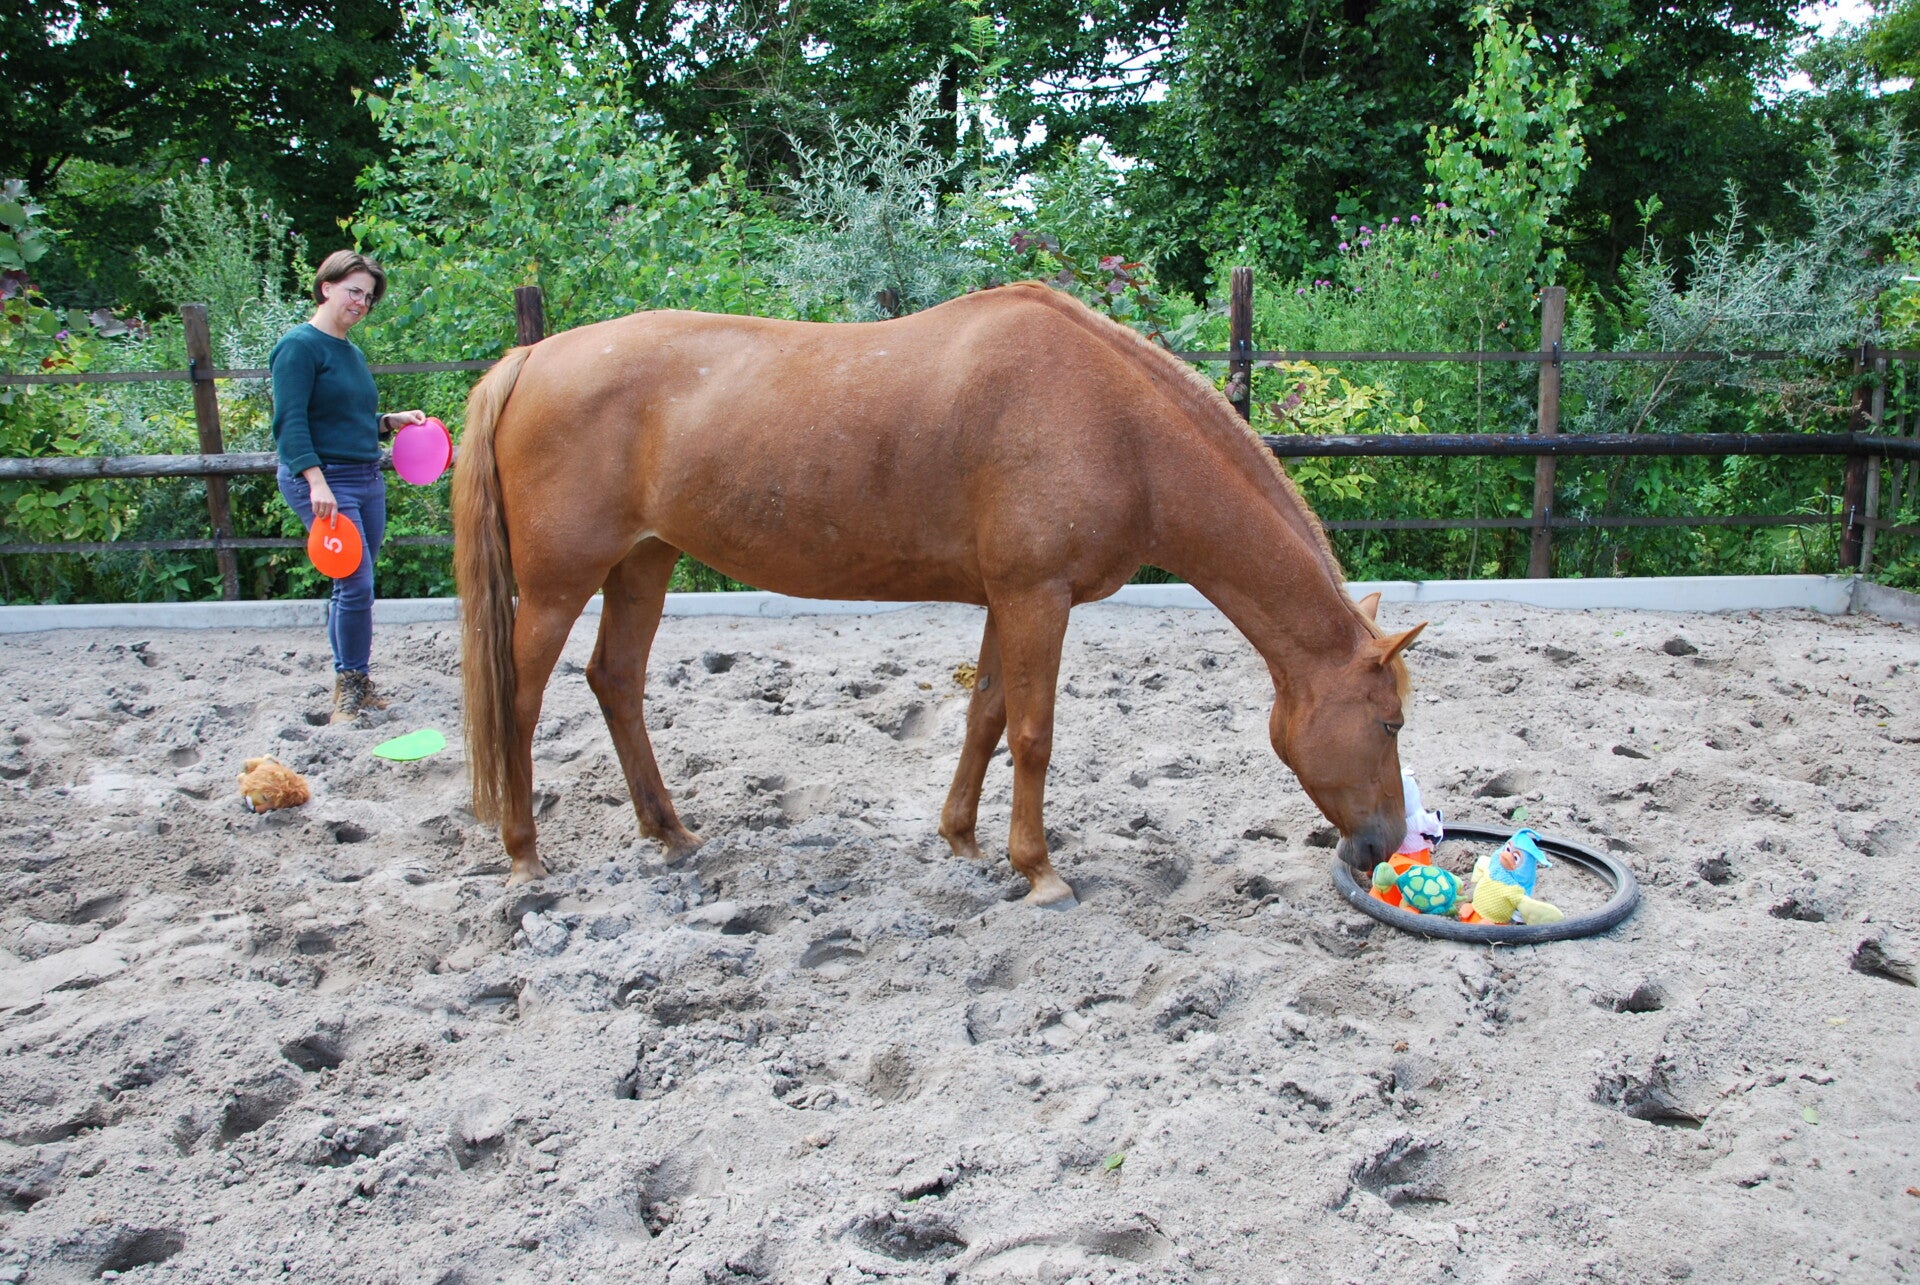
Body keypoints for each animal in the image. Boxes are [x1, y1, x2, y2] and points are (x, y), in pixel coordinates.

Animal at [454, 282, 1423, 904]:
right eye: (1389, 723)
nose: (1384, 846)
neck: (1118, 427)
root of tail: (529, 359)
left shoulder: (1008, 596)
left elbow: (986, 714)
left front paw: (962, 838)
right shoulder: (1037, 595)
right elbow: (1032, 733)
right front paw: (1039, 870)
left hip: (643, 566)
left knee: (615, 680)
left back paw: (670, 831)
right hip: (558, 587)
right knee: (520, 701)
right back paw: (524, 857)